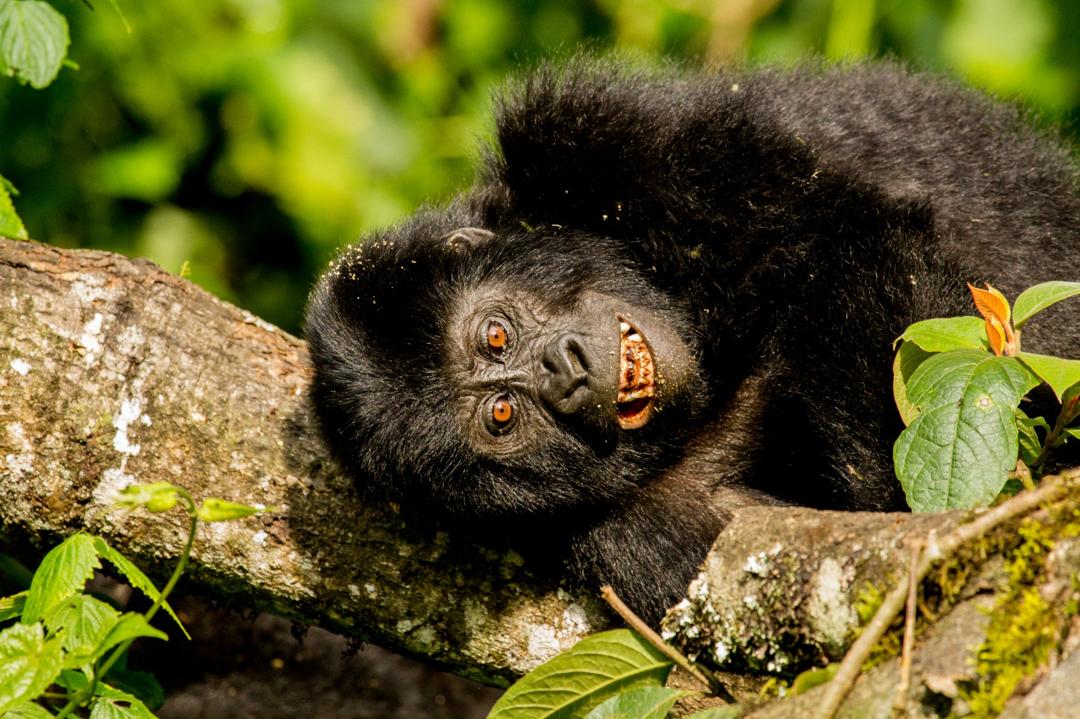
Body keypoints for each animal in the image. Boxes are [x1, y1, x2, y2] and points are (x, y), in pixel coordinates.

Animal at [304, 59, 1080, 622]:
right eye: (501, 416)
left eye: (495, 334)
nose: (564, 371)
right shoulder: (633, 538)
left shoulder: (600, 138)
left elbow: (853, 234)